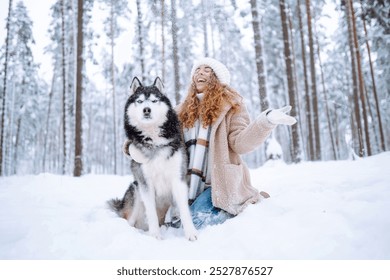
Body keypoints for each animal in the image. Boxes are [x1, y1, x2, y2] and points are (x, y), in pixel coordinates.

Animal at [107, 77, 197, 241]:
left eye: (154, 100)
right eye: (140, 101)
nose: (146, 110)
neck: (154, 142)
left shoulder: (178, 179)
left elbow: (184, 210)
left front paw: (191, 233)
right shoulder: (145, 183)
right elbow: (151, 213)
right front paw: (155, 236)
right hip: (136, 193)